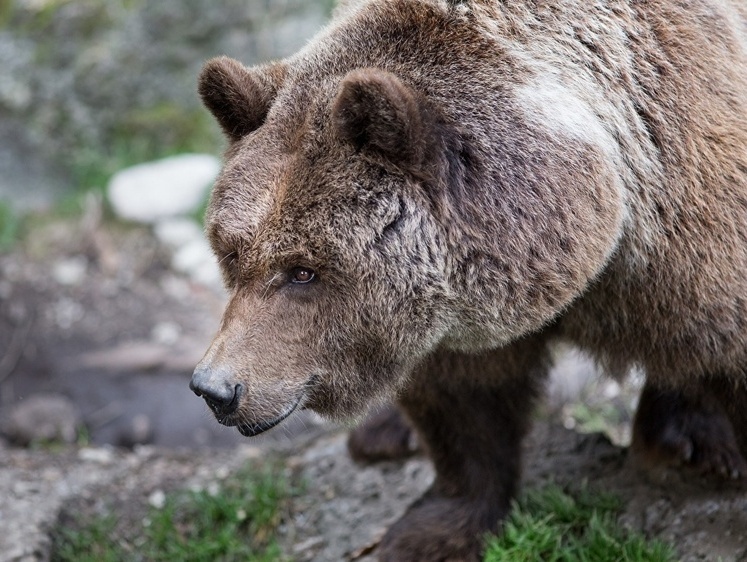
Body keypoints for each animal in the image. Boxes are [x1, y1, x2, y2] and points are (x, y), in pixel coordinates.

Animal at [190, 2, 747, 556]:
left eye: (303, 270)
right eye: (232, 252)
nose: (216, 388)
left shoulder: (686, 224)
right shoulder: (446, 313)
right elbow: (463, 402)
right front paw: (432, 529)